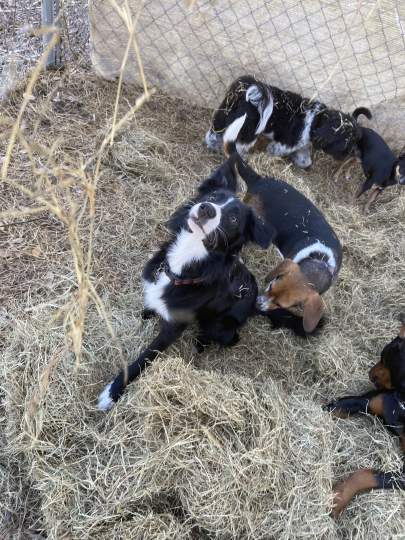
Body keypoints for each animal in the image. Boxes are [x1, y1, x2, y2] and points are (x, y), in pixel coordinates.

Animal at [98, 156, 274, 410]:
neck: (184, 263)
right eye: (214, 197)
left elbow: (145, 357)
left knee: (229, 338)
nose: (206, 209)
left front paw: (112, 393)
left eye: (233, 219)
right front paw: (148, 312)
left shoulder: (173, 328)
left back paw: (201, 343)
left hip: (220, 325)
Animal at [326, 322, 405, 516]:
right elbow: (337, 405)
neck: (402, 401)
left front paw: (337, 498)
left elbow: (366, 475)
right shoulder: (367, 401)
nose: (370, 374)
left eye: (384, 357)